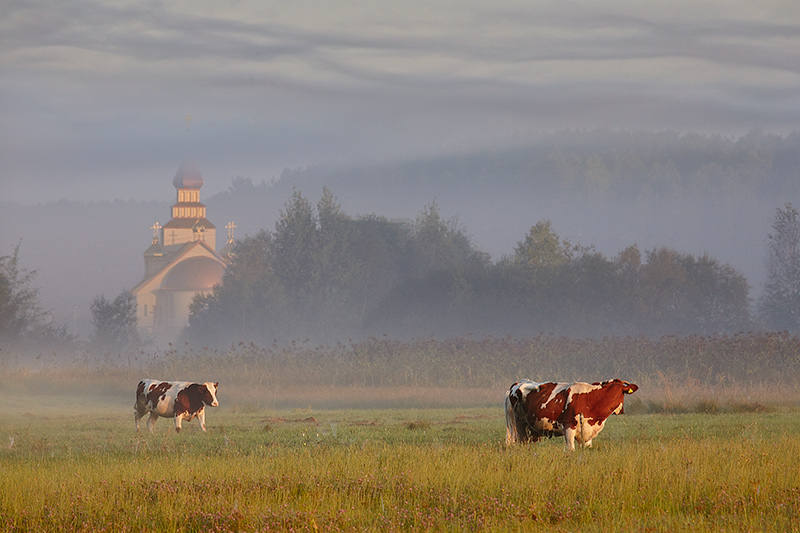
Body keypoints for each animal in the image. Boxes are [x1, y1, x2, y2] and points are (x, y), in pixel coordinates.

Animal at [506, 378, 636, 448]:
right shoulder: (569, 427)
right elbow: (570, 450)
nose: (622, 411)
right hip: (519, 425)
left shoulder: (588, 432)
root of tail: (519, 383)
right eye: (623, 394)